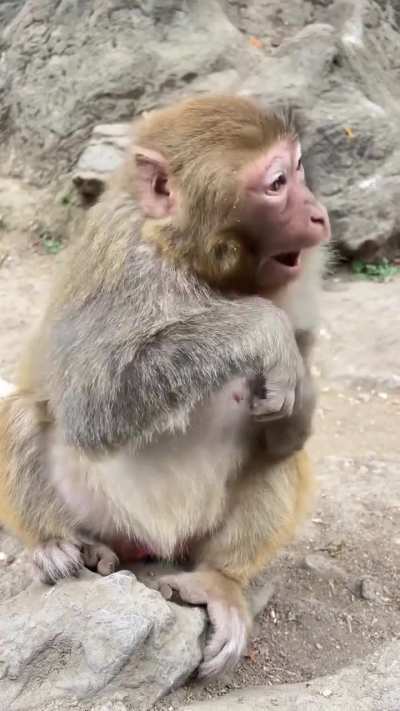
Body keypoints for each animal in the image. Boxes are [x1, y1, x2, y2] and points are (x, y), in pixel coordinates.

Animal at [0, 94, 330, 678]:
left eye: (298, 171)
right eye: (276, 184)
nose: (318, 214)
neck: (190, 260)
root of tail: (145, 544)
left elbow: (284, 435)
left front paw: (300, 394)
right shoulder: (124, 268)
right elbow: (92, 408)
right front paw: (262, 329)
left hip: (197, 535)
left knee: (280, 458)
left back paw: (219, 580)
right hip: (96, 512)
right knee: (23, 413)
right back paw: (60, 545)